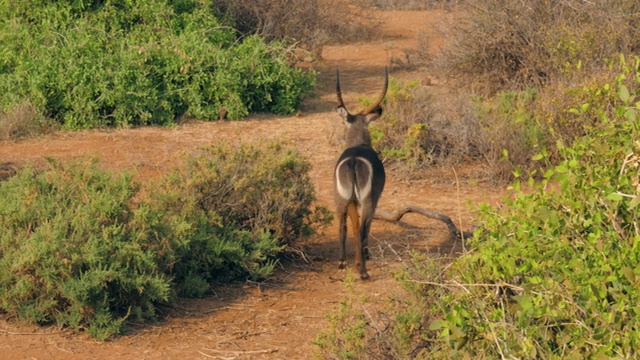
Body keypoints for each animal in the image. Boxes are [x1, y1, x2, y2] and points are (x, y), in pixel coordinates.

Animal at [336, 69, 390, 280]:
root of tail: (352, 160)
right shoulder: (374, 199)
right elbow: (364, 228)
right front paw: (364, 257)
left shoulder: (351, 201)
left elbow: (352, 225)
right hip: (368, 200)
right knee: (362, 229)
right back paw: (364, 272)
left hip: (341, 198)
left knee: (342, 226)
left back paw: (342, 262)